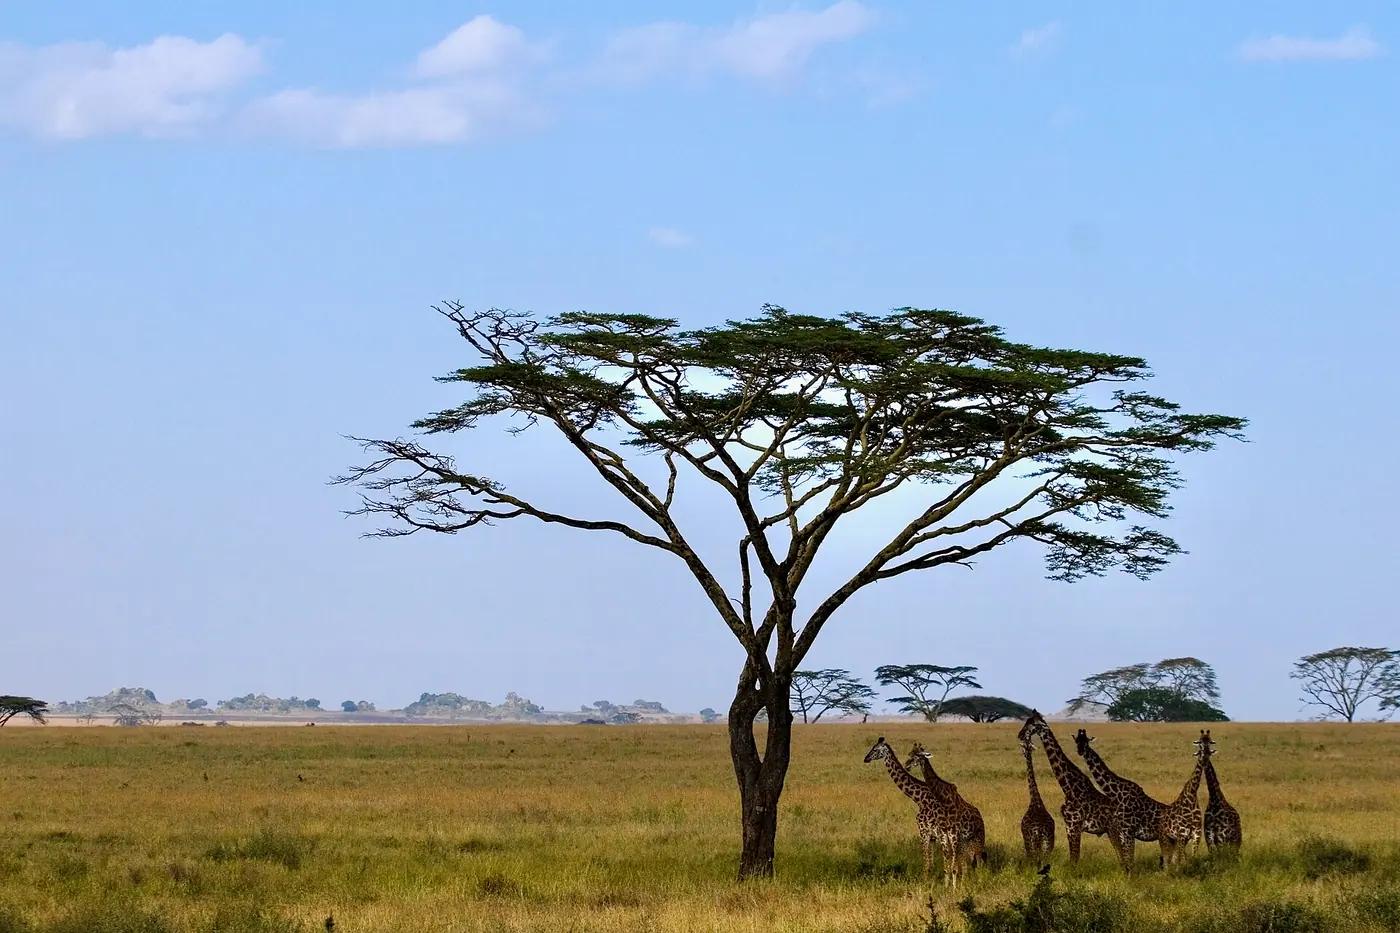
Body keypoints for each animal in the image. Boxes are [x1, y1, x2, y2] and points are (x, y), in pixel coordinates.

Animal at [861, 736, 952, 885]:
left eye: (875, 749)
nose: (866, 758)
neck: (919, 798)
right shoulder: (932, 836)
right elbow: (931, 863)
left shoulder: (924, 831)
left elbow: (927, 863)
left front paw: (924, 883)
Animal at [905, 742, 986, 886]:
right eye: (910, 753)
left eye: (918, 755)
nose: (906, 765)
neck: (944, 800)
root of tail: (980, 815)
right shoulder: (944, 834)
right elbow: (948, 863)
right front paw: (948, 886)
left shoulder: (953, 834)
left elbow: (953, 865)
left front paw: (953, 888)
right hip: (965, 841)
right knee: (968, 862)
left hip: (979, 838)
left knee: (979, 860)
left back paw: (979, 882)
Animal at [1017, 711, 1133, 873]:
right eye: (1026, 720)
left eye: (1032, 724)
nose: (1020, 735)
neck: (1069, 788)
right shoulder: (1068, 826)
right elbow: (1073, 857)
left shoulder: (1074, 826)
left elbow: (1074, 859)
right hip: (1117, 831)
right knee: (1124, 855)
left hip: (1115, 830)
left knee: (1123, 854)